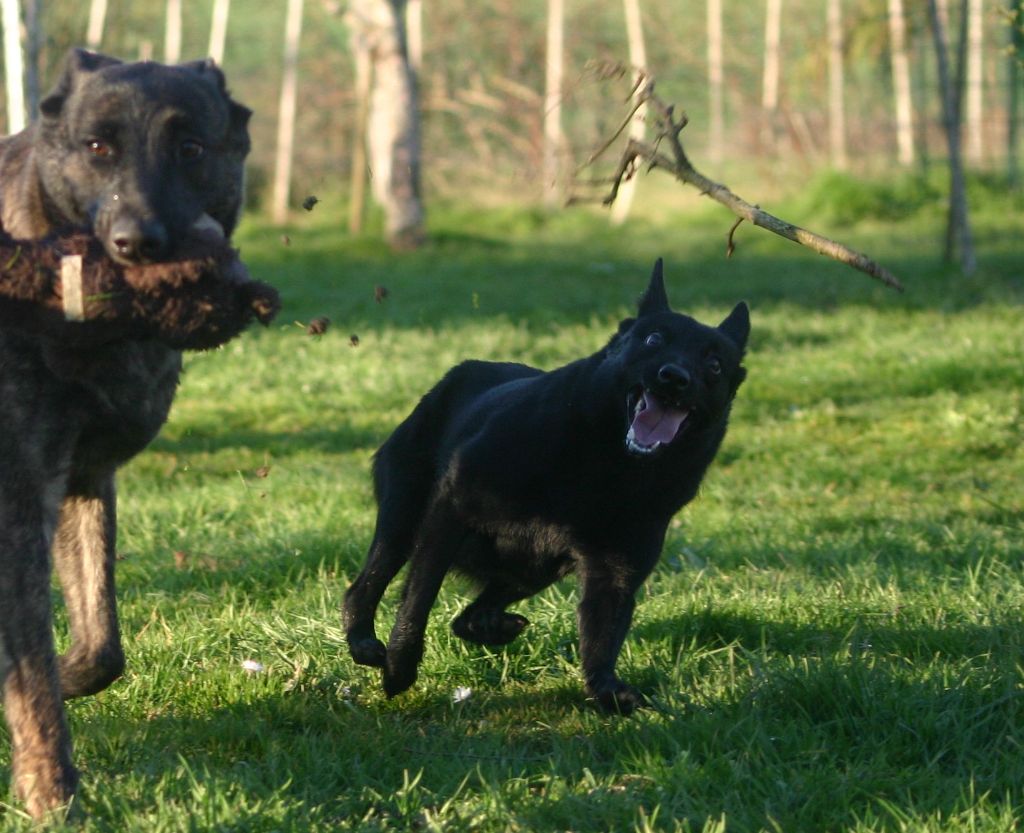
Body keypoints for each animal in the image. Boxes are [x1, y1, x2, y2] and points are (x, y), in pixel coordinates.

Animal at [0, 48, 251, 815]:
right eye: (97, 147)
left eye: (190, 147)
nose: (135, 242)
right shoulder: (18, 503)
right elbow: (32, 673)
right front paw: (51, 791)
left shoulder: (85, 481)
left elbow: (100, 645)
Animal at [346, 261, 753, 713]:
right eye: (654, 339)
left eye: (714, 364)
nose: (674, 378)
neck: (607, 463)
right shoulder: (449, 511)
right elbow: (419, 597)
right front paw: (400, 664)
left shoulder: (617, 569)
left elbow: (603, 634)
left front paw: (606, 690)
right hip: (403, 519)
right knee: (365, 585)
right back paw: (363, 640)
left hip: (535, 567)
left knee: (471, 612)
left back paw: (490, 624)